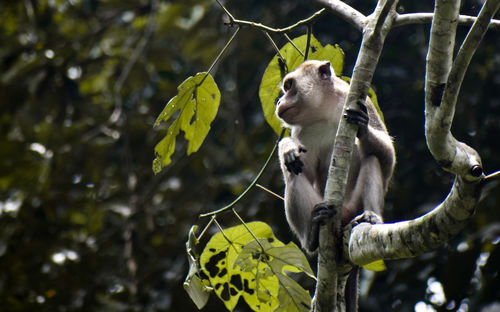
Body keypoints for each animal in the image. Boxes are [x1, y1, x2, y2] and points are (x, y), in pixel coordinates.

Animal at [274, 60, 394, 312]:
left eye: (289, 86)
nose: (279, 101)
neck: (324, 110)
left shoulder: (362, 102)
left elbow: (387, 159)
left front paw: (363, 127)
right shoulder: (303, 131)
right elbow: (303, 171)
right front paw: (287, 147)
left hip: (354, 204)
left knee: (372, 159)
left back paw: (370, 217)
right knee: (294, 176)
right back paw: (312, 234)